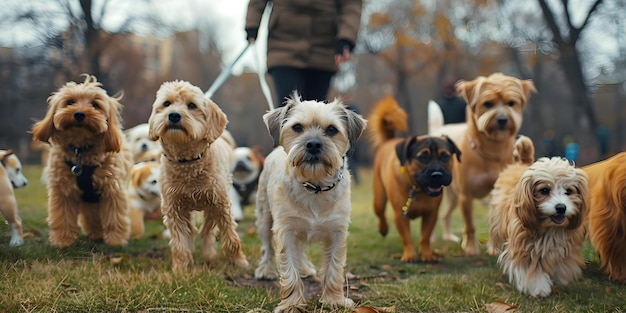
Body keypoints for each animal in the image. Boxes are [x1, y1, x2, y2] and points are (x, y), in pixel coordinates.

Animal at [30, 75, 132, 246]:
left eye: (95, 104)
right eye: (70, 101)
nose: (79, 114)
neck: (81, 151)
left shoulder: (111, 189)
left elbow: (114, 217)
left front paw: (115, 240)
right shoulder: (63, 190)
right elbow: (62, 217)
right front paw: (62, 240)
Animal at [147, 80, 247, 270]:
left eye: (192, 105)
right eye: (167, 103)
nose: (173, 116)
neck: (187, 162)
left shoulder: (220, 205)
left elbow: (230, 236)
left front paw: (239, 261)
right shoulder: (174, 209)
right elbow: (180, 241)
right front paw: (181, 268)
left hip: (211, 209)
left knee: (206, 231)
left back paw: (209, 254)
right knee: (194, 231)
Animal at [366, 95, 458, 260]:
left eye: (445, 156)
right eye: (423, 157)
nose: (437, 174)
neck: (418, 189)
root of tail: (389, 141)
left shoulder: (431, 214)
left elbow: (425, 237)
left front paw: (427, 254)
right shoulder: (400, 215)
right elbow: (407, 237)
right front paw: (410, 255)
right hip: (379, 199)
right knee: (381, 214)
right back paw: (383, 228)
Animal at [488, 157, 584, 296]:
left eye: (569, 191)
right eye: (544, 190)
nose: (561, 207)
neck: (549, 228)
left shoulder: (564, 247)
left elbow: (562, 264)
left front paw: (560, 277)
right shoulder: (523, 248)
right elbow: (531, 270)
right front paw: (539, 287)